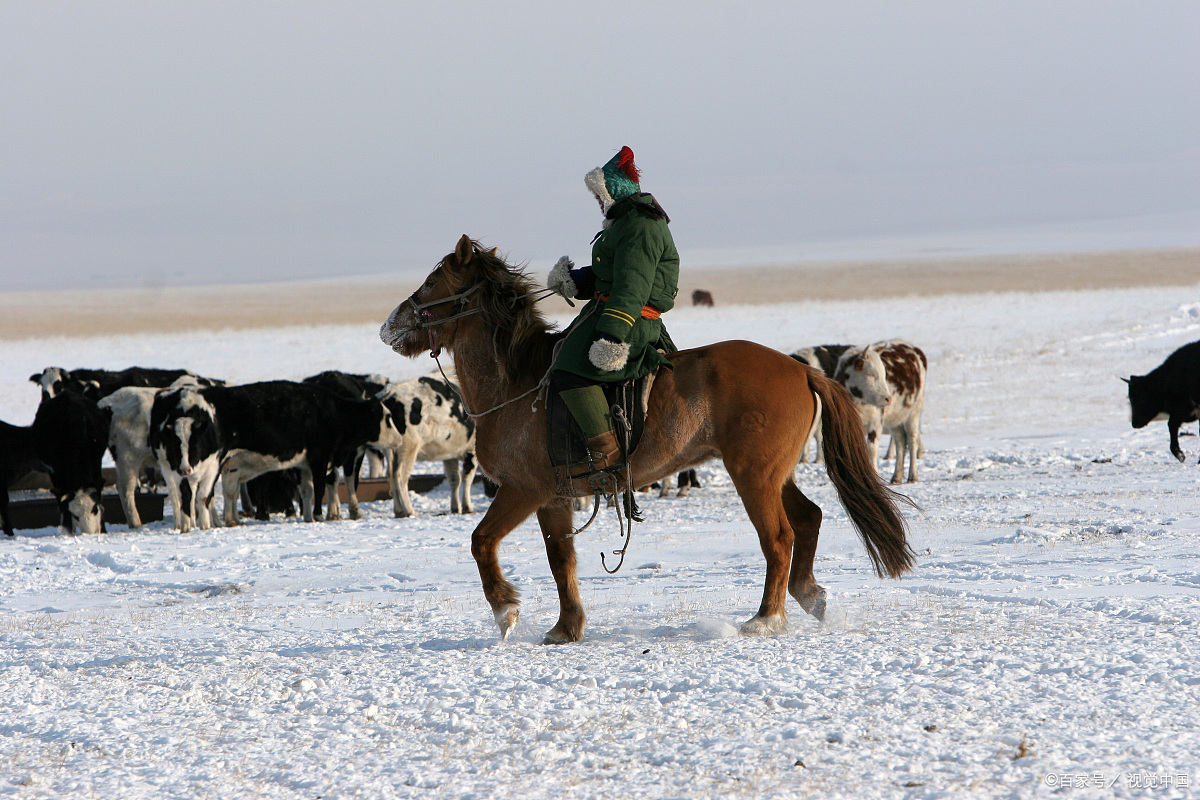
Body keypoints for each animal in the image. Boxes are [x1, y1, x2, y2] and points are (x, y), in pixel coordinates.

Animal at [381, 376, 480, 520]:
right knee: (400, 475)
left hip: (390, 448)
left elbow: (454, 478)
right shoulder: (471, 450)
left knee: (390, 475)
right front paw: (468, 508)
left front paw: (455, 508)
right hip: (409, 445)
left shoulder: (450, 453)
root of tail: (389, 395)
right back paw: (410, 511)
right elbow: (467, 478)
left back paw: (399, 511)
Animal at [835, 338, 926, 482]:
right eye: (871, 374)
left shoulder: (876, 421)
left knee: (912, 440)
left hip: (913, 411)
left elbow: (871, 450)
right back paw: (897, 476)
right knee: (900, 441)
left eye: (884, 374)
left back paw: (913, 475)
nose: (887, 399)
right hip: (895, 418)